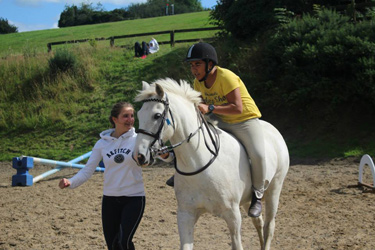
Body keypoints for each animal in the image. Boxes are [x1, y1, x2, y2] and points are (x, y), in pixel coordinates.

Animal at [133, 78, 290, 250]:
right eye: (138, 115)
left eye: (157, 115)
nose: (139, 156)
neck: (198, 162)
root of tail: (273, 130)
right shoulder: (185, 215)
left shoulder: (232, 215)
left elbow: (237, 244)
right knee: (258, 221)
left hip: (274, 189)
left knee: (269, 225)